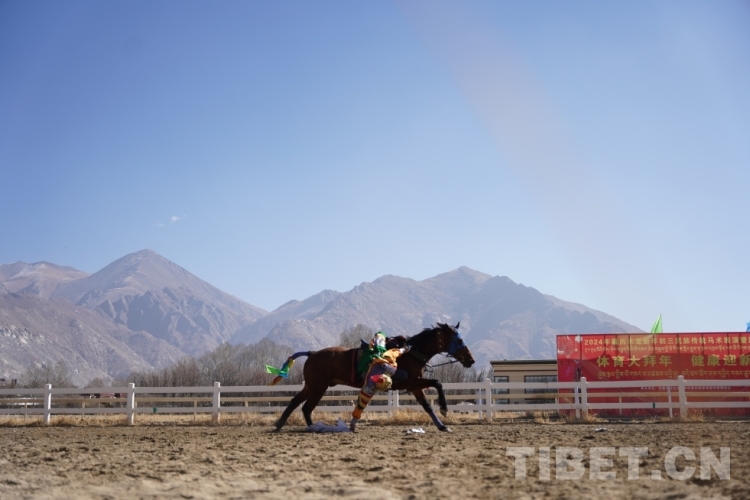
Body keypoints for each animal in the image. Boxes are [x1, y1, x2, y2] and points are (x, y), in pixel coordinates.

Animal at [271, 322, 474, 432]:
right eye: (459, 340)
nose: (471, 360)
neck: (410, 353)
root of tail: (312, 353)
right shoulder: (410, 383)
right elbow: (438, 383)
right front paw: (444, 409)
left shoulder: (415, 387)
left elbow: (427, 406)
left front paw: (442, 425)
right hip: (318, 387)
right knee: (306, 407)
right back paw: (312, 427)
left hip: (311, 386)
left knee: (296, 402)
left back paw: (281, 424)